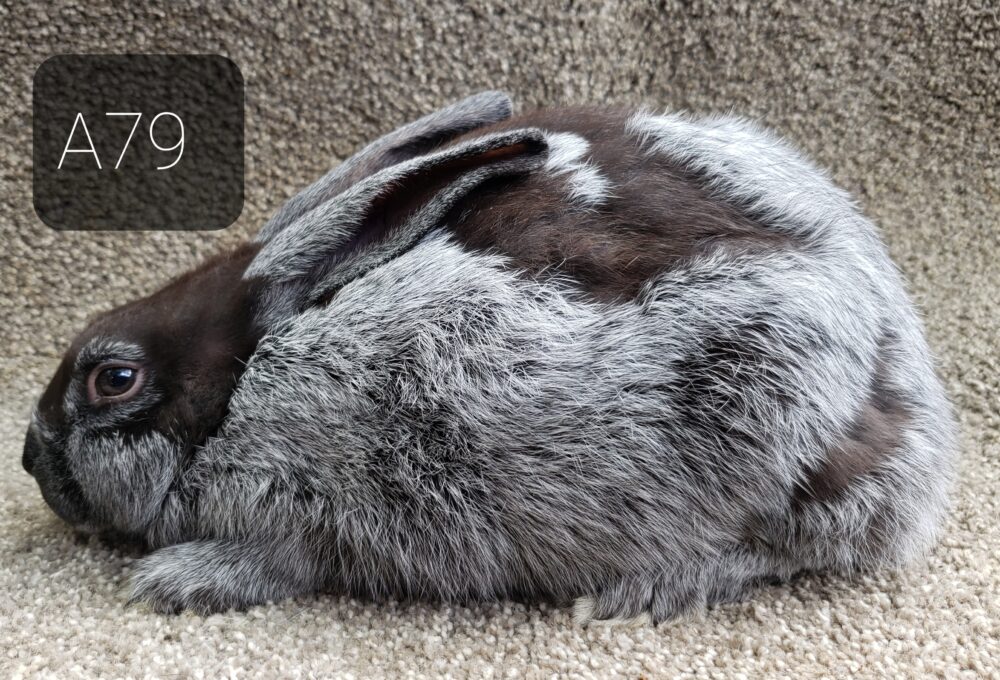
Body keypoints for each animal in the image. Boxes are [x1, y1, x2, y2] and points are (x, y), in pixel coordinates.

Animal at [22, 91, 957, 623]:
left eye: (113, 378)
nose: (32, 458)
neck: (237, 388)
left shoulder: (322, 510)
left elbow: (280, 560)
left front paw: (178, 580)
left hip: (778, 418)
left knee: (799, 546)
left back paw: (632, 596)